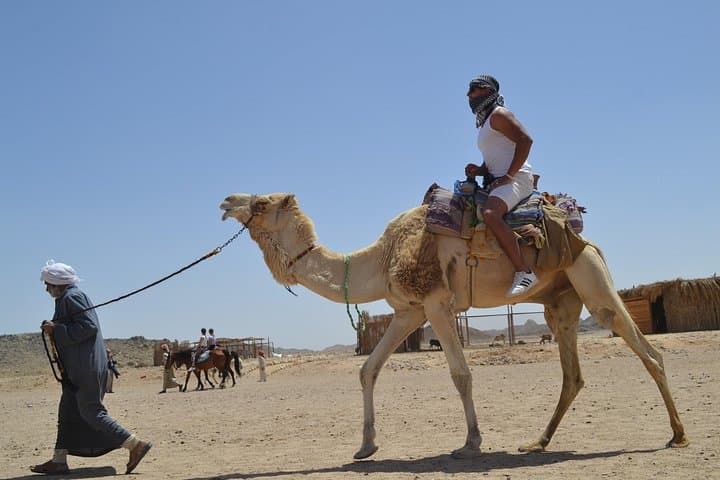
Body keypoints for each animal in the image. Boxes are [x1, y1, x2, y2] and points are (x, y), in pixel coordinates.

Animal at [219, 192, 689, 459]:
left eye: (260, 203)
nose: (225, 202)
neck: (382, 258)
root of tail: (584, 236)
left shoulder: (436, 303)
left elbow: (460, 374)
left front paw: (471, 443)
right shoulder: (409, 311)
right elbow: (368, 369)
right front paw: (366, 446)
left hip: (590, 279)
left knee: (646, 349)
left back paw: (678, 435)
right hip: (561, 301)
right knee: (572, 374)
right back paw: (537, 443)